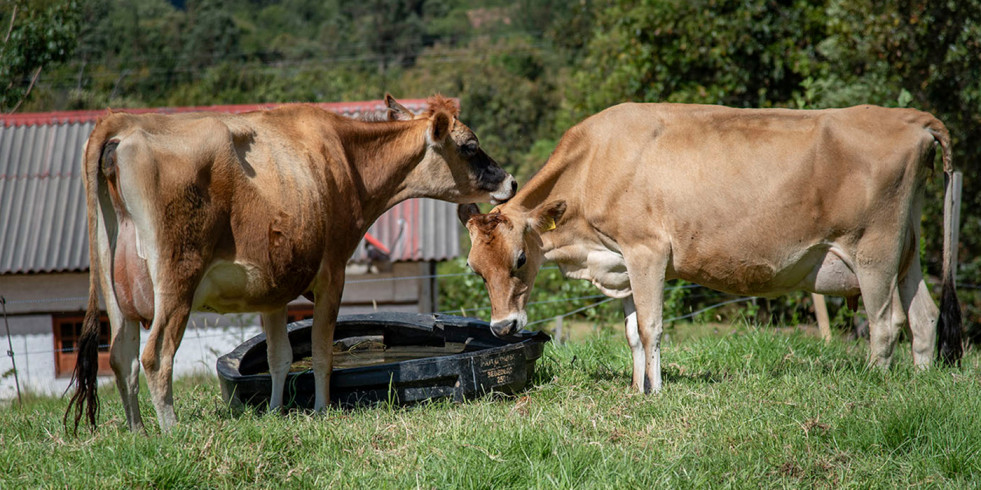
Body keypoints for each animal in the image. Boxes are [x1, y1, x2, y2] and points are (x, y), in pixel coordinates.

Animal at [65, 94, 516, 430]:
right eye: (470, 146)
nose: (510, 181)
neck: (348, 162)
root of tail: (123, 122)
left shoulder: (272, 288)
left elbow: (278, 357)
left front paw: (276, 412)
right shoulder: (332, 272)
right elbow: (320, 351)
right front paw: (320, 411)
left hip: (114, 288)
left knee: (120, 356)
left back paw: (139, 433)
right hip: (177, 277)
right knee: (155, 356)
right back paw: (172, 434)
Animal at [460, 102, 956, 394]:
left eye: (520, 259)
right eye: (476, 269)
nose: (502, 328)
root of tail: (910, 117)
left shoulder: (647, 251)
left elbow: (651, 328)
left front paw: (656, 394)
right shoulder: (619, 266)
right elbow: (631, 332)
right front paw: (637, 389)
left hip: (874, 249)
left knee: (886, 322)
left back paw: (875, 386)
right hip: (906, 248)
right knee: (924, 316)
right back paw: (921, 384)